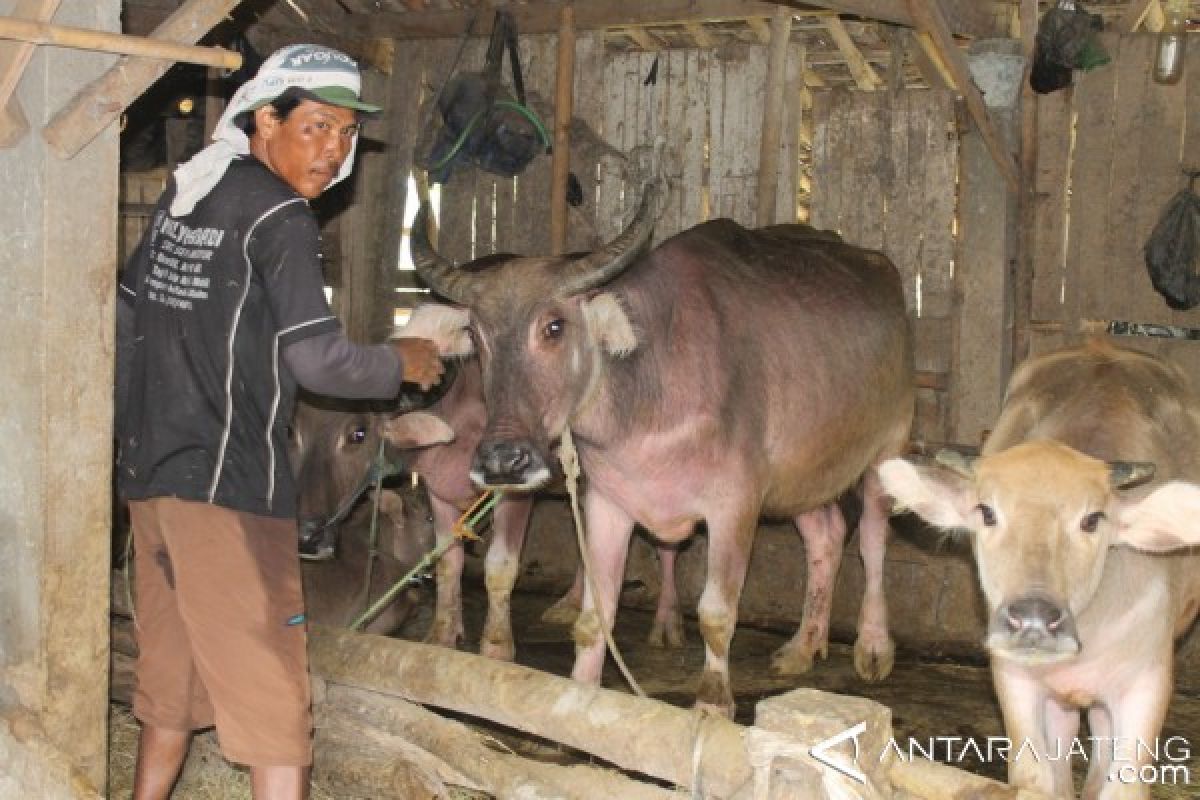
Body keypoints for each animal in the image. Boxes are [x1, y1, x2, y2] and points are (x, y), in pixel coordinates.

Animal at [408, 181, 912, 714]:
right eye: (475, 335)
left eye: (554, 327)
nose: (503, 460)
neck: (647, 400)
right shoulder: (608, 502)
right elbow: (595, 616)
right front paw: (579, 694)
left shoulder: (735, 506)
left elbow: (716, 613)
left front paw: (713, 702)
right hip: (802, 476)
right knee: (826, 535)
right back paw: (802, 646)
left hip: (888, 449)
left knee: (873, 540)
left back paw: (872, 648)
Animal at [878, 340, 1200, 796]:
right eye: (987, 512)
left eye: (1093, 519)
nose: (1032, 619)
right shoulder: (1014, 679)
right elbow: (1034, 778)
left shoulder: (1147, 684)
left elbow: (1124, 784)